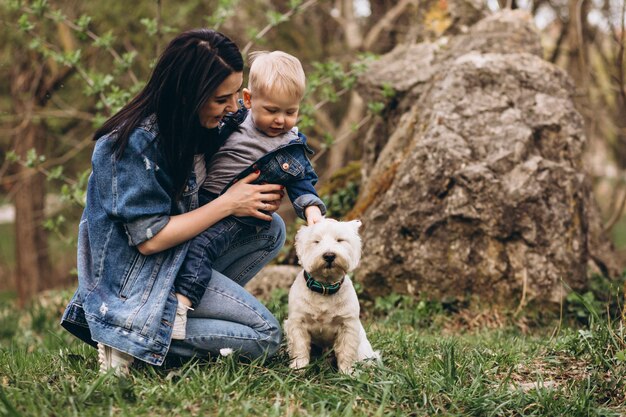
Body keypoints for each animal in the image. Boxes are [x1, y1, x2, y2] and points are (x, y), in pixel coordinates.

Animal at [284, 219, 380, 372]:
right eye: (316, 241)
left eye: (340, 240)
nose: (329, 255)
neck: (325, 287)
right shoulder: (297, 322)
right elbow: (299, 346)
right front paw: (299, 368)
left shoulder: (348, 325)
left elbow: (347, 350)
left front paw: (347, 372)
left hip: (364, 350)